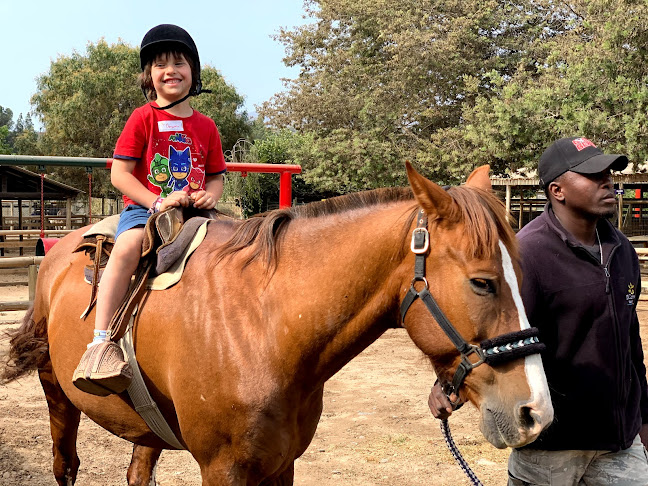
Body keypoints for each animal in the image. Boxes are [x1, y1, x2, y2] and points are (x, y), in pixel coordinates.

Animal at [3, 164, 552, 486]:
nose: (536, 412)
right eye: (482, 283)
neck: (263, 327)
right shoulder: (223, 471)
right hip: (58, 397)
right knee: (65, 466)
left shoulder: (283, 464)